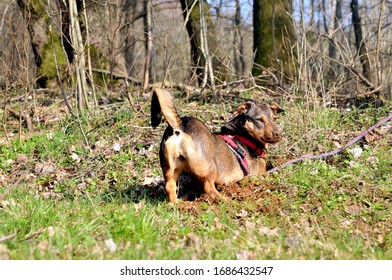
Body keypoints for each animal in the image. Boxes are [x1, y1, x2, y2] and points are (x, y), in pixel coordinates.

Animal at [150, 87, 282, 201]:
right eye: (259, 120)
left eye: (274, 118)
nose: (278, 133)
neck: (243, 135)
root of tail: (181, 124)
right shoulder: (258, 175)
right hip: (211, 167)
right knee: (209, 188)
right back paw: (226, 200)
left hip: (171, 169)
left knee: (170, 188)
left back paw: (179, 204)